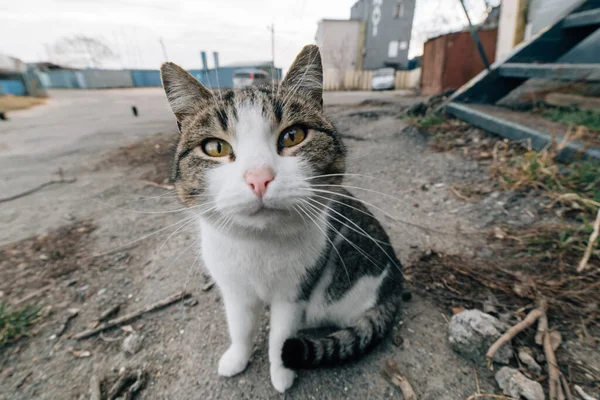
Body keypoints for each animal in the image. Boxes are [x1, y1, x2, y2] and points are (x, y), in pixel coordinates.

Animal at [159, 45, 404, 392]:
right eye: (215, 147)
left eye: (293, 136)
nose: (259, 178)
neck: (258, 244)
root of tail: (396, 281)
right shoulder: (234, 289)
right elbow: (240, 327)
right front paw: (237, 358)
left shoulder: (295, 292)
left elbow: (281, 336)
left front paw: (281, 372)